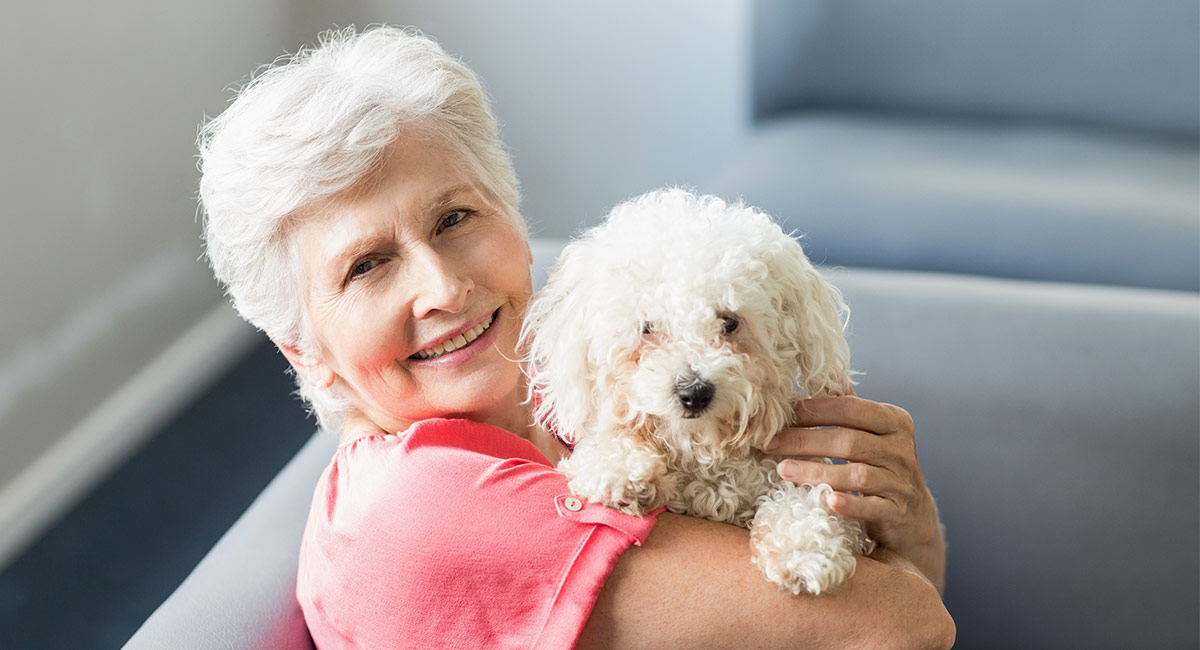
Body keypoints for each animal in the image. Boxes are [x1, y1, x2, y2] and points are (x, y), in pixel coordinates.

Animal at [523, 187, 873, 597]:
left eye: (730, 321)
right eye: (648, 327)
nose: (694, 392)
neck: (702, 453)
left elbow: (807, 499)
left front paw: (804, 552)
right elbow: (608, 445)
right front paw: (621, 471)